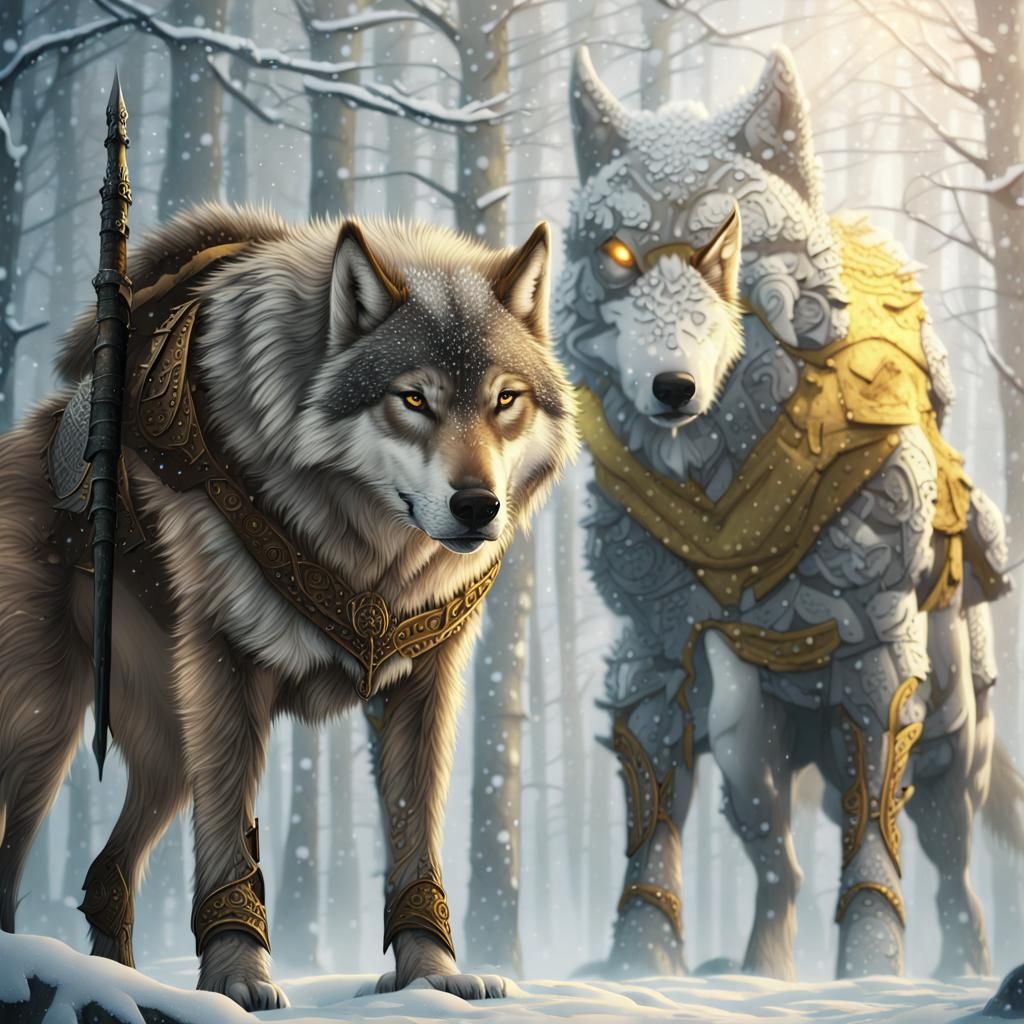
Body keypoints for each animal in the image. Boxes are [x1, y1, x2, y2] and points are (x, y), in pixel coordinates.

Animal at [0, 205, 576, 1008]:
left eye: (505, 399)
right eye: (414, 399)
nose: (477, 506)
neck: (373, 561)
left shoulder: (426, 683)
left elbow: (416, 840)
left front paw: (430, 977)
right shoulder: (225, 668)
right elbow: (229, 844)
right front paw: (237, 980)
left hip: (167, 749)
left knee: (106, 874)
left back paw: (113, 980)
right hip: (46, 731)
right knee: (14, 855)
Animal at [556, 45, 1024, 980]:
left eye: (724, 249)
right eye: (619, 252)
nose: (669, 388)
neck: (725, 491)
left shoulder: (877, 651)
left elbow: (874, 819)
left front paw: (872, 965)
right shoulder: (653, 650)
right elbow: (653, 811)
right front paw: (635, 966)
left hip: (954, 733)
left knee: (950, 855)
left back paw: (963, 966)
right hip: (751, 736)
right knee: (781, 858)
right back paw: (761, 969)